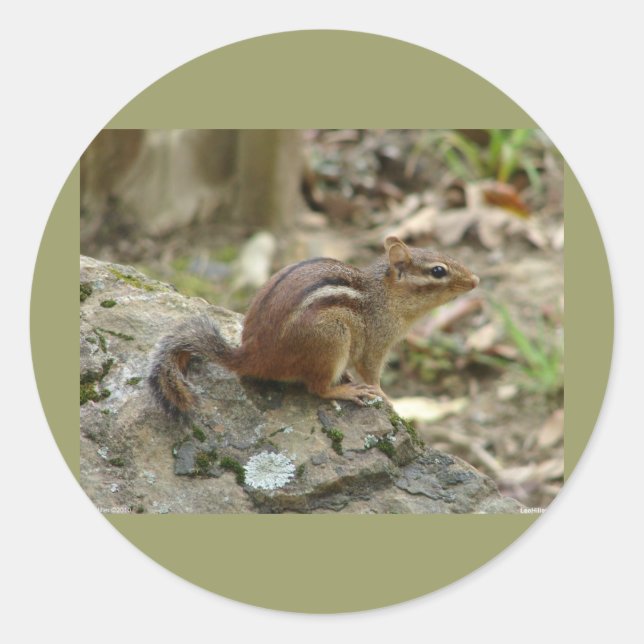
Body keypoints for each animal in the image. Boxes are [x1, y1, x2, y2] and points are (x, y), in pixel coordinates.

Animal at [148, 235, 479, 418]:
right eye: (438, 271)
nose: (476, 280)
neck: (383, 295)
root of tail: (252, 356)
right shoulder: (376, 344)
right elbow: (372, 373)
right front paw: (384, 396)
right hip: (331, 339)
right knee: (317, 389)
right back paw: (345, 391)